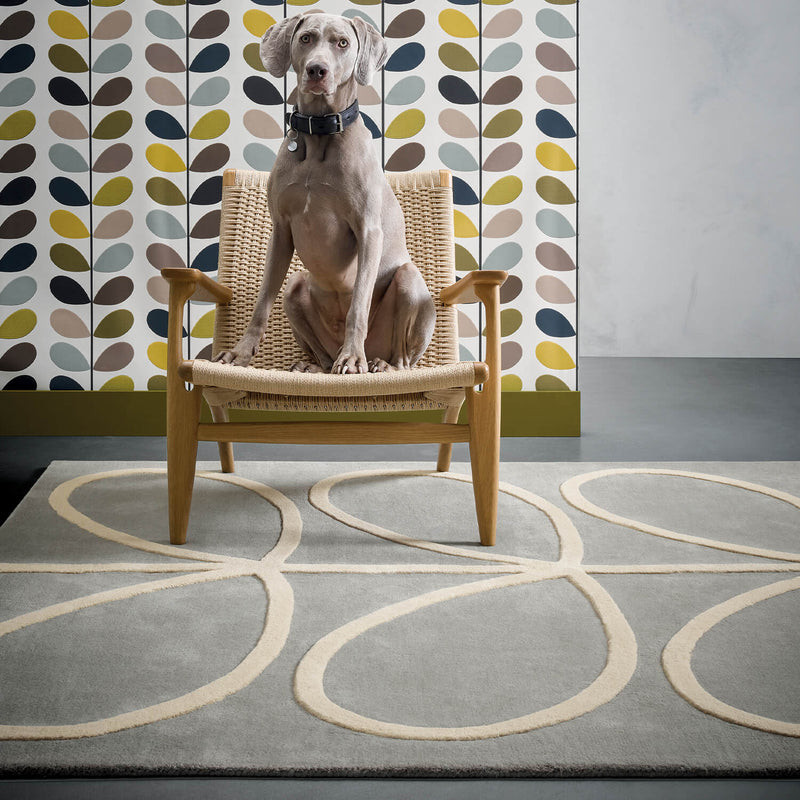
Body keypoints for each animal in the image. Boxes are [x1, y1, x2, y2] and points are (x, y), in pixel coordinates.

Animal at [214, 12, 438, 376]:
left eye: (342, 43)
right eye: (306, 38)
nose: (316, 70)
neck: (319, 132)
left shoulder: (368, 230)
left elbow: (359, 303)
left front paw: (353, 358)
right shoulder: (281, 230)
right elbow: (262, 303)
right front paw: (241, 353)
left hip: (408, 280)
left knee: (404, 359)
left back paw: (377, 363)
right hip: (296, 287)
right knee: (321, 351)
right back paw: (316, 366)